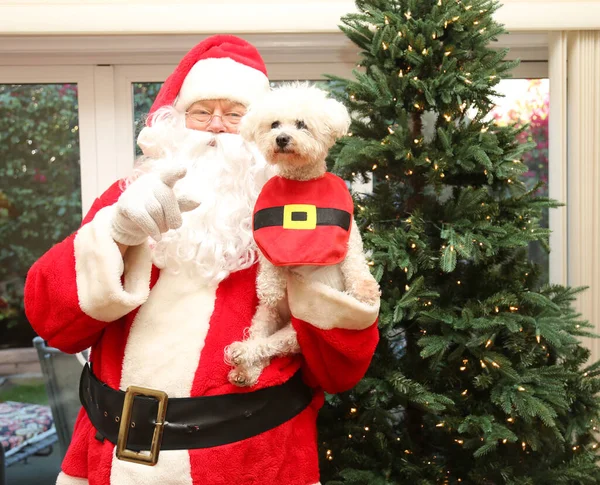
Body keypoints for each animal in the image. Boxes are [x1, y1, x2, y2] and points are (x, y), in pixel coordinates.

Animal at [225, 82, 380, 386]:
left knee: (272, 345)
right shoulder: (265, 238)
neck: (301, 182)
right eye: (274, 124)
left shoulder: (350, 235)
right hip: (267, 316)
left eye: (301, 124)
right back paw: (244, 366)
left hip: (302, 330)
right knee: (261, 337)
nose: (282, 138)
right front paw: (270, 287)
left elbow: (356, 262)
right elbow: (269, 265)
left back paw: (244, 358)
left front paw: (366, 291)